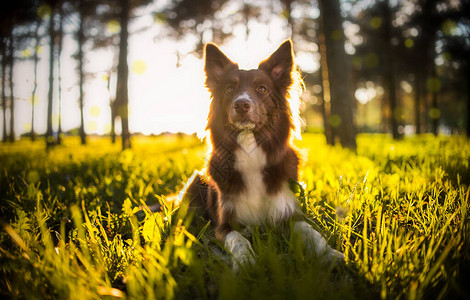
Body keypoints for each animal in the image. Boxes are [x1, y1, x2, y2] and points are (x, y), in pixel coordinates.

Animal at [185, 39, 346, 270]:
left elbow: (313, 233)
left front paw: (330, 254)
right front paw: (245, 261)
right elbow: (238, 240)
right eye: (229, 89)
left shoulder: (289, 212)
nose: (241, 104)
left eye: (262, 88)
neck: (250, 148)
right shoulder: (224, 225)